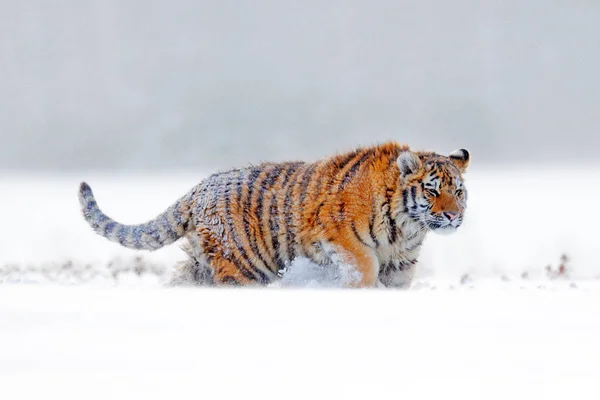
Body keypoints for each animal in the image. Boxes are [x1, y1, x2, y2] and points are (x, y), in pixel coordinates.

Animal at [78, 141, 468, 288]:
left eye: (459, 192)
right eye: (432, 191)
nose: (453, 217)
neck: (407, 228)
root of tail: (199, 187)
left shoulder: (401, 262)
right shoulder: (342, 239)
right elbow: (364, 269)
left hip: (202, 262)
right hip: (243, 264)